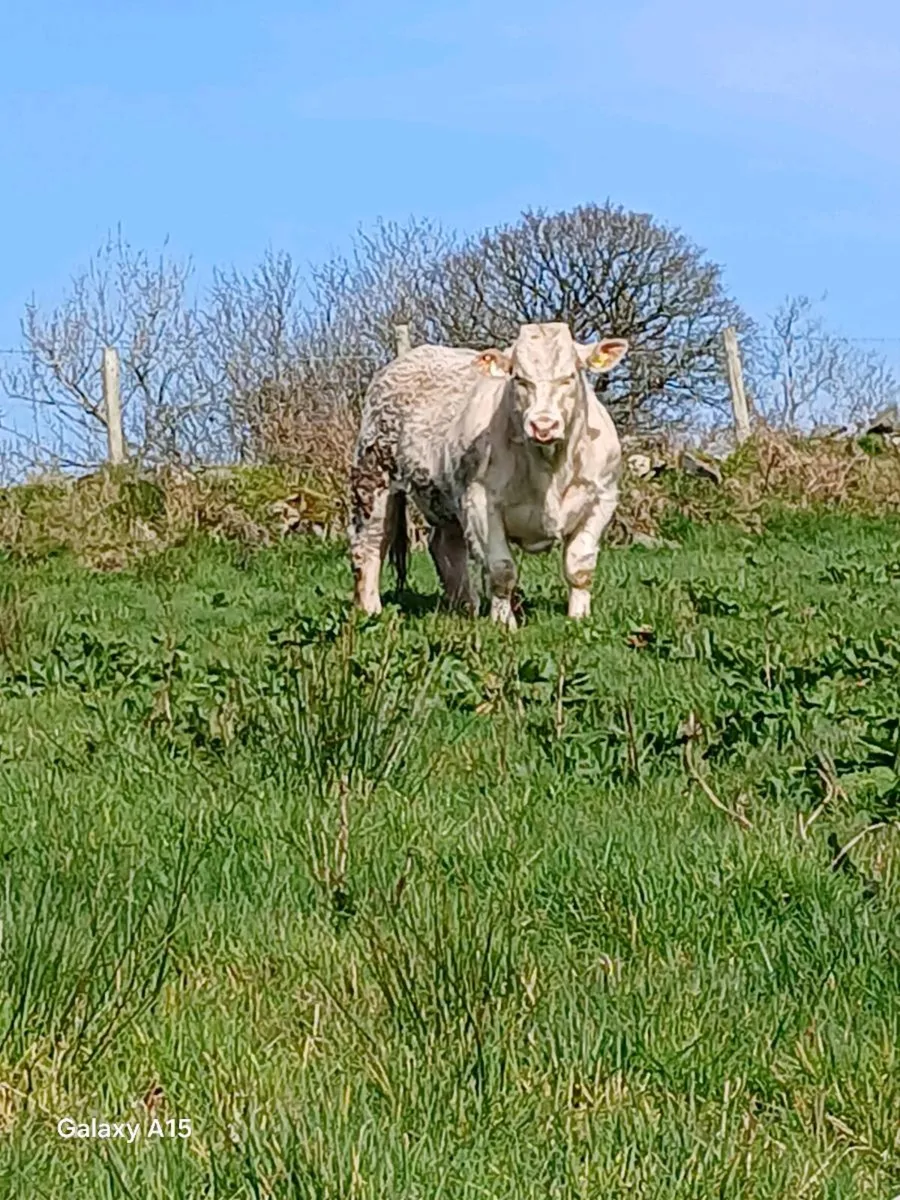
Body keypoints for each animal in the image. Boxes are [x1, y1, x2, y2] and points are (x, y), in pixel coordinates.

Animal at [349, 321, 629, 629]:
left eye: (570, 376)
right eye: (519, 378)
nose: (543, 425)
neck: (551, 468)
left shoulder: (602, 498)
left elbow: (580, 565)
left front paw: (579, 617)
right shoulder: (481, 502)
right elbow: (501, 570)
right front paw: (504, 623)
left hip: (444, 497)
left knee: (445, 546)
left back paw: (465, 608)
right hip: (373, 478)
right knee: (370, 544)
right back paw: (370, 610)